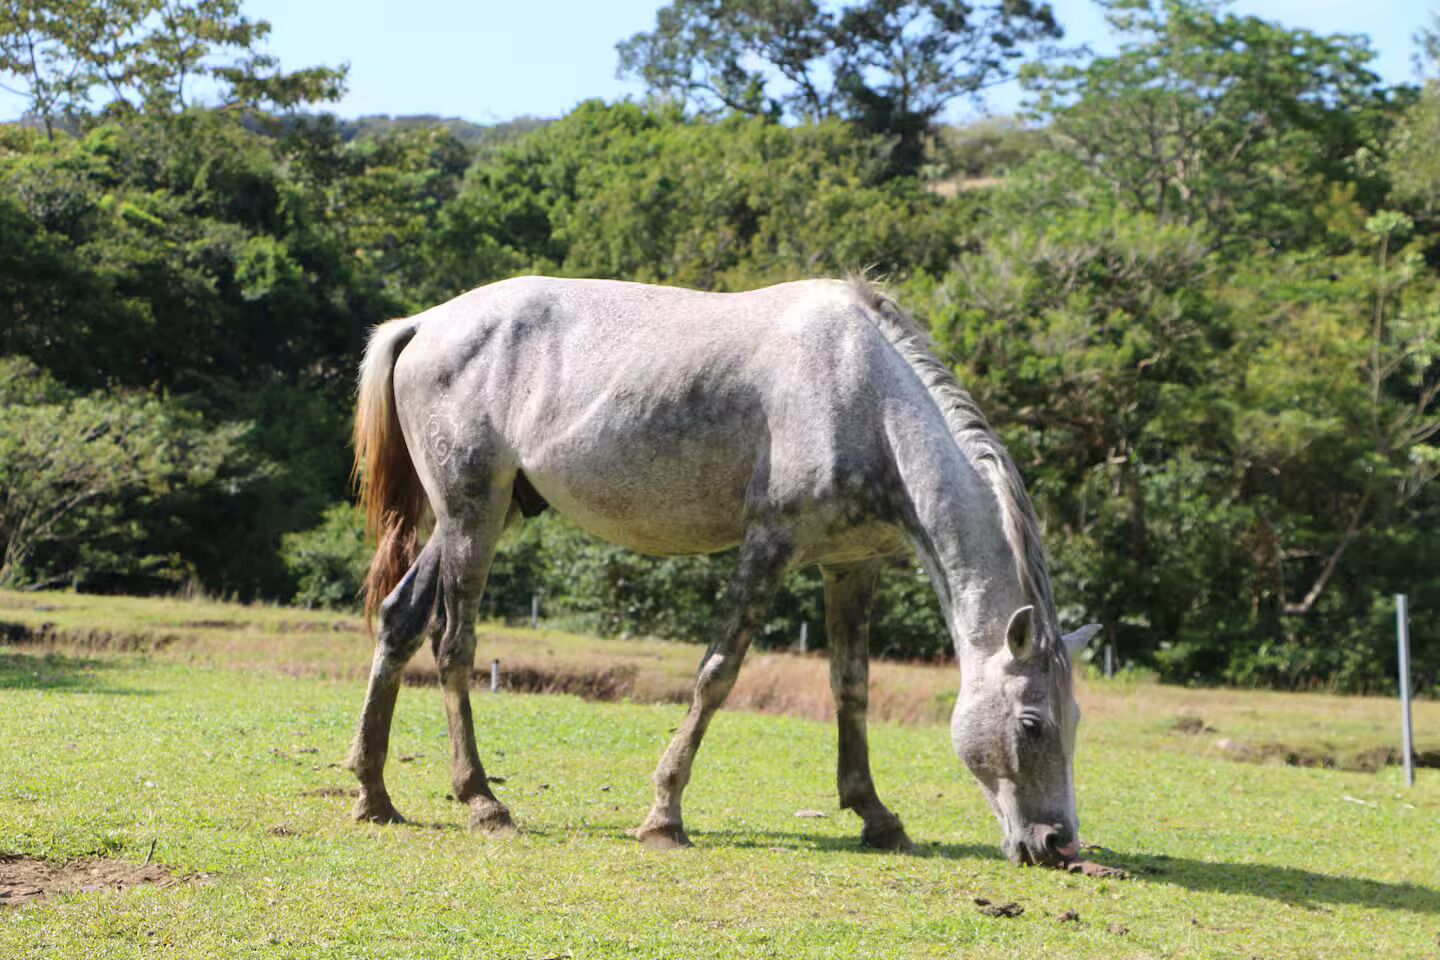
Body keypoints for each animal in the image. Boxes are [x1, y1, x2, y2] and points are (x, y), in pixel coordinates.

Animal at [344, 275, 1100, 866]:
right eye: (1032, 724)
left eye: (1077, 719)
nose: (1057, 845)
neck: (864, 394)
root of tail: (423, 324)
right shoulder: (768, 545)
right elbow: (718, 674)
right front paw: (664, 815)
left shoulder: (851, 566)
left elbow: (850, 686)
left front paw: (876, 815)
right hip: (472, 513)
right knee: (452, 645)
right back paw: (482, 801)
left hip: (478, 516)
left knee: (400, 622)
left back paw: (374, 794)